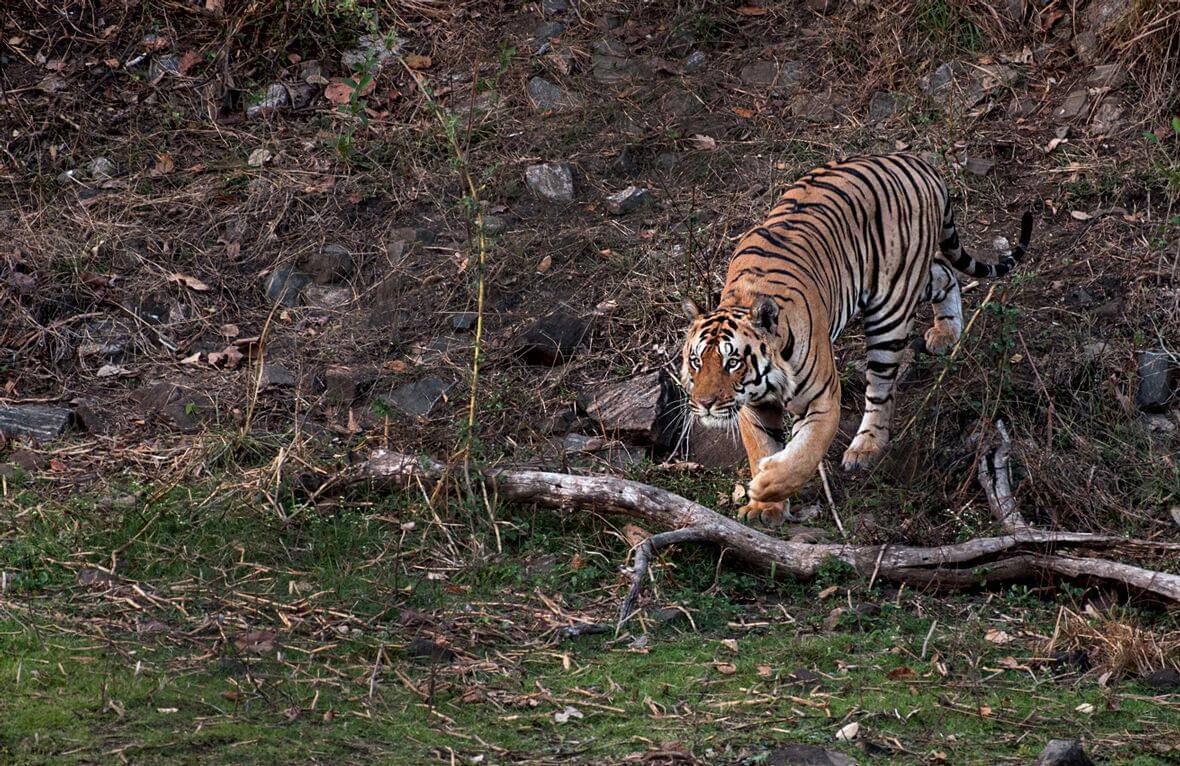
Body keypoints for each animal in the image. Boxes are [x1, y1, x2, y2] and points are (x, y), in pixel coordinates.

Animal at [684, 152, 1033, 521]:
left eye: (733, 362)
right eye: (696, 362)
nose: (704, 404)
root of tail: (918, 162)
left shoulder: (822, 397)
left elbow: (804, 452)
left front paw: (767, 484)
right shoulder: (753, 407)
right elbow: (761, 446)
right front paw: (765, 506)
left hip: (890, 306)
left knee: (880, 389)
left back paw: (865, 447)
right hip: (908, 281)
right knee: (944, 272)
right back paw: (947, 331)